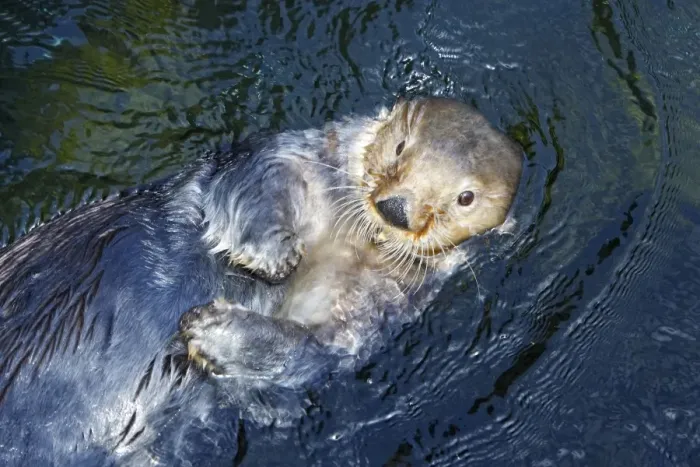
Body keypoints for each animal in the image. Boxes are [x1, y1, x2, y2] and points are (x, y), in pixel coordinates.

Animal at [0, 97, 521, 465]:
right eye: (399, 148)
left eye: (466, 198)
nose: (396, 209)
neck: (349, 241)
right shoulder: (286, 152)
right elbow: (257, 182)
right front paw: (274, 258)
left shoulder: (377, 303)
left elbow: (314, 347)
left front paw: (210, 330)